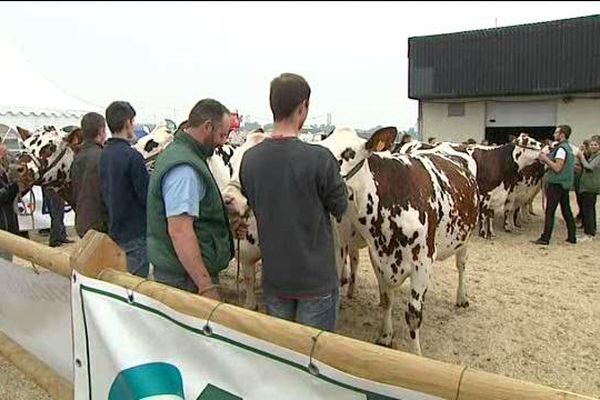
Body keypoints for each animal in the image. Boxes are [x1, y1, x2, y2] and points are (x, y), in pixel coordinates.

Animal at [223, 127, 480, 354]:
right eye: (232, 163)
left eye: (349, 153)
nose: (230, 198)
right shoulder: (377, 258)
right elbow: (386, 299)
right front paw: (385, 335)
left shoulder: (422, 265)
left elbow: (413, 316)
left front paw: (415, 355)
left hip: (465, 239)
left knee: (461, 266)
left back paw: (462, 298)